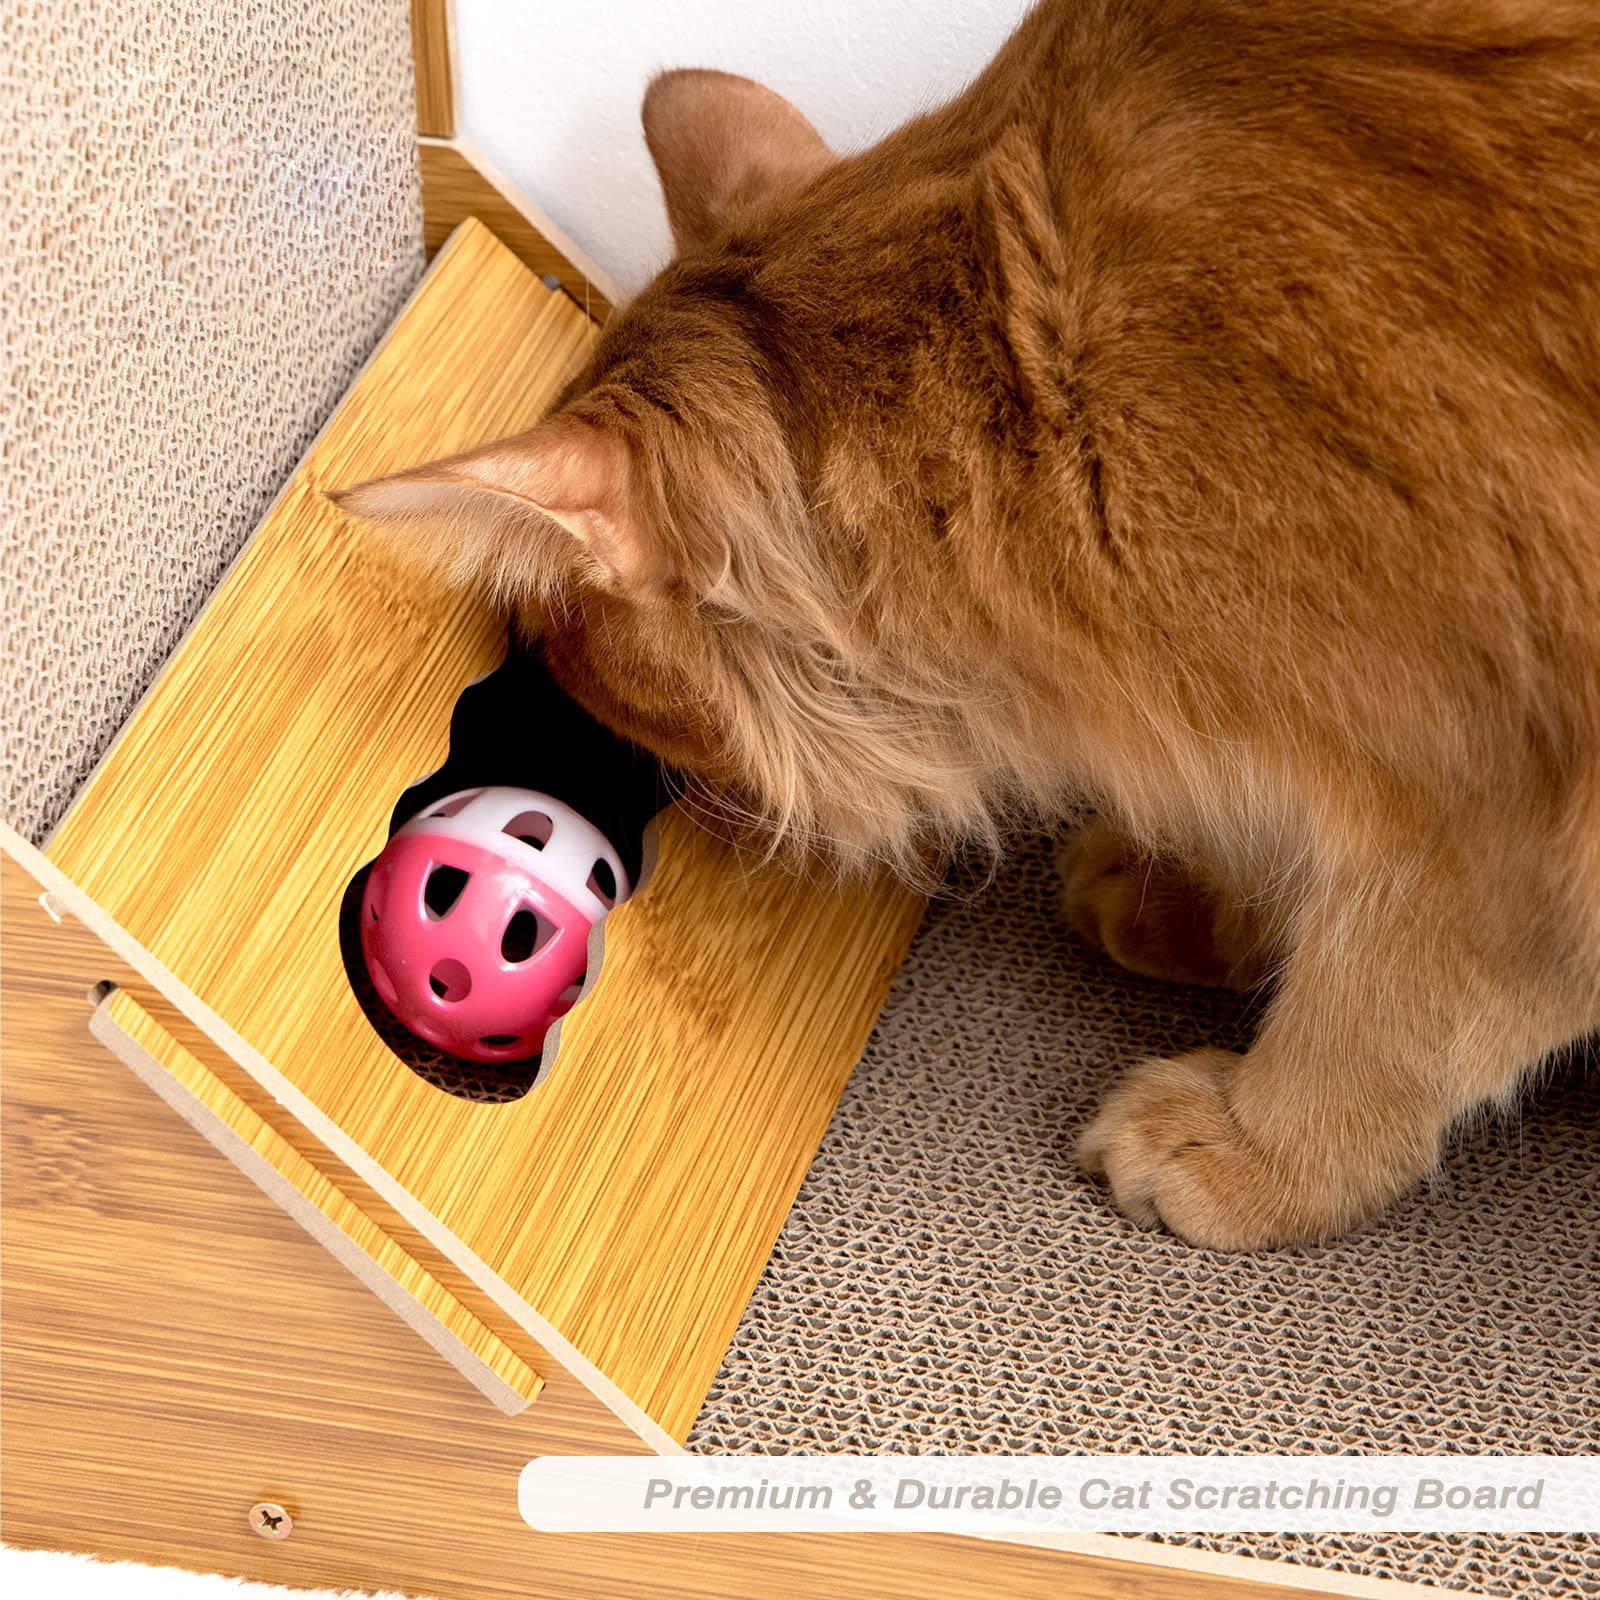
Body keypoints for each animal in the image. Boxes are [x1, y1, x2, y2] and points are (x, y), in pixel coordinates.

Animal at [340, 0, 1600, 1248]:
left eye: (572, 663)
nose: (571, 740)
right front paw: (1204, 907)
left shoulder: (1509, 815)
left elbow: (1380, 1016)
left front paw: (1251, 1148)